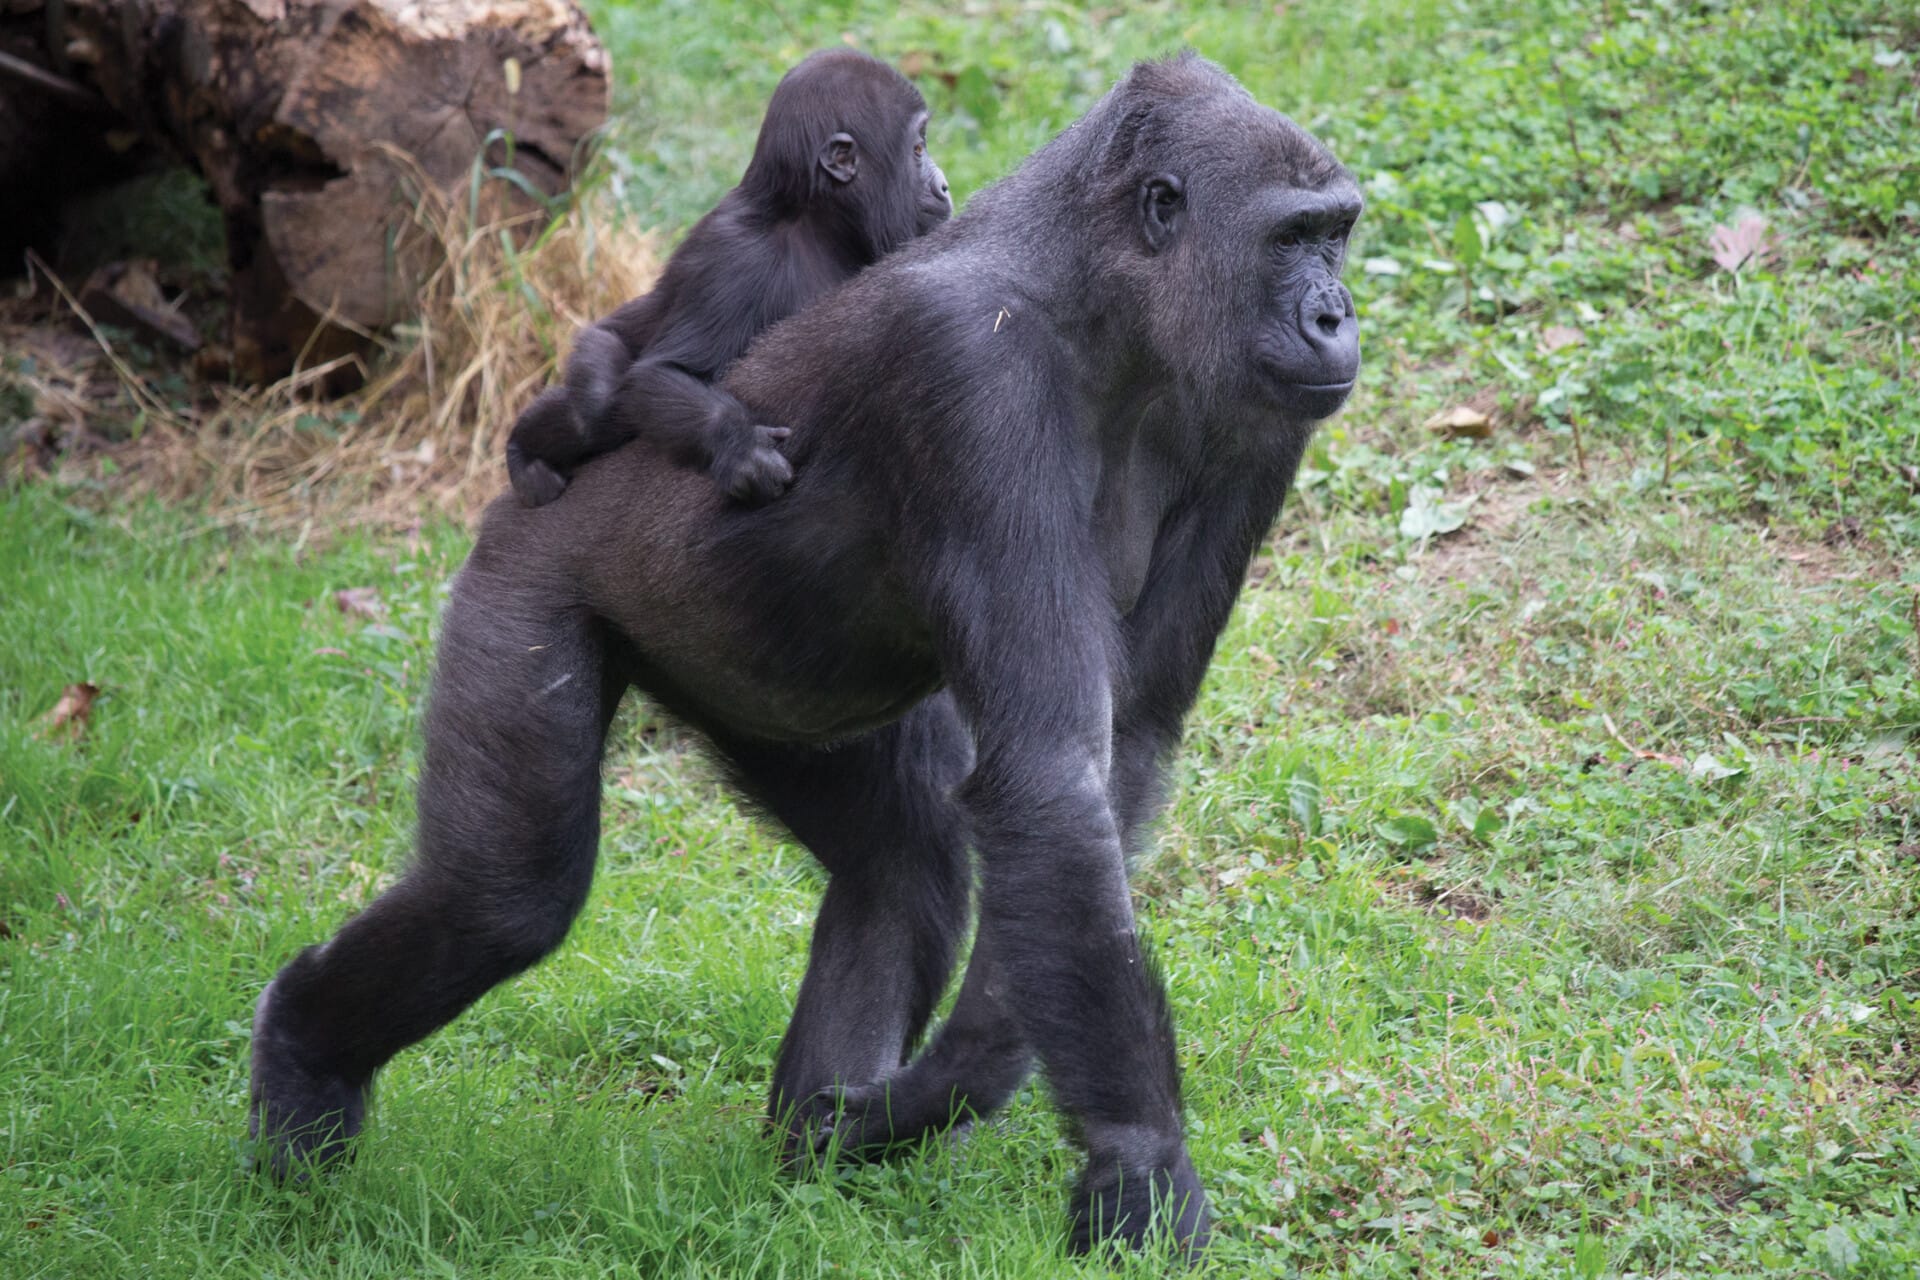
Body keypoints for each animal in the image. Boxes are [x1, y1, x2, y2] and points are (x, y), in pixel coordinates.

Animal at [510, 52, 952, 506]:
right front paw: (738, 446)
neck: (814, 220)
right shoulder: (737, 257)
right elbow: (663, 372)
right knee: (595, 410)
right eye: (918, 149)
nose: (944, 186)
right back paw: (523, 450)